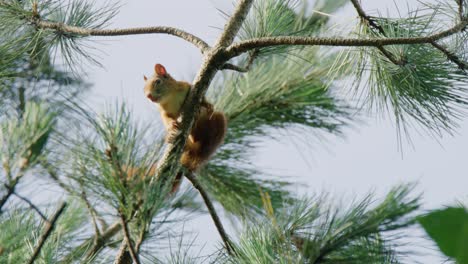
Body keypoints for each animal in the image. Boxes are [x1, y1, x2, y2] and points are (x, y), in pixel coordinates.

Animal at [144, 63, 229, 191]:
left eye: (157, 81)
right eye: (143, 89)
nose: (148, 96)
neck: (170, 97)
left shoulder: (187, 87)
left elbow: (202, 98)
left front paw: (207, 105)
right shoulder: (163, 110)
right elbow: (166, 118)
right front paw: (171, 127)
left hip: (217, 122)